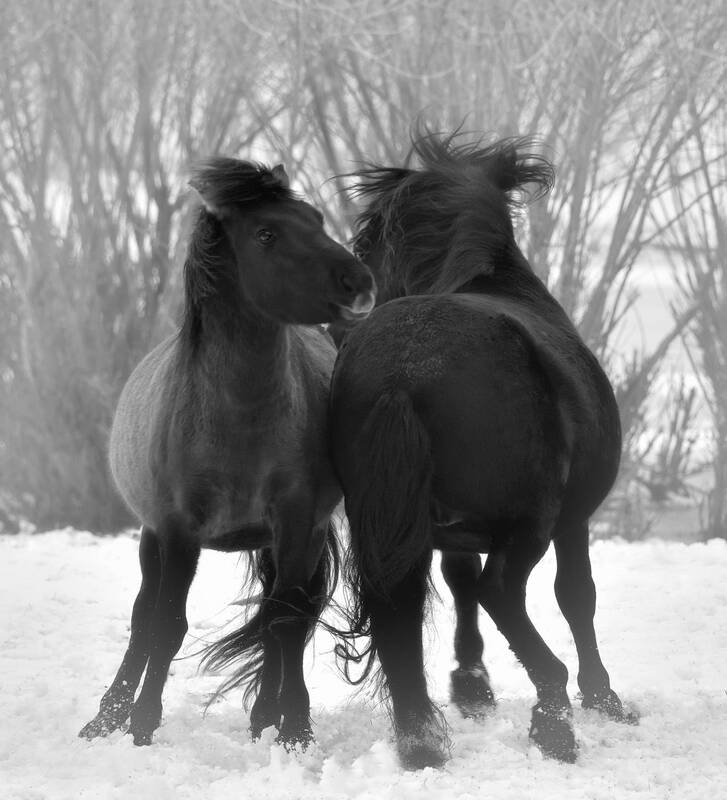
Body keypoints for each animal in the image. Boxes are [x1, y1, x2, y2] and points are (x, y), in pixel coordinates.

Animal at [79, 157, 375, 748]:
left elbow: (286, 622)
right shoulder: (178, 532)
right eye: (265, 233)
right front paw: (142, 725)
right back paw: (107, 716)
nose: (357, 281)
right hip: (151, 538)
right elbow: (166, 624)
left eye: (314, 218)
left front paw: (294, 730)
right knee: (143, 617)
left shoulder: (298, 525)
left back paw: (264, 716)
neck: (238, 416)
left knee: (284, 616)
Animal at [328, 133, 637, 769]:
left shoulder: (447, 529)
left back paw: (420, 738)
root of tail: (403, 369)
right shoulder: (573, 522)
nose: (339, 320)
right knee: (503, 593)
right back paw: (554, 718)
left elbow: (460, 581)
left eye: (366, 242)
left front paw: (471, 687)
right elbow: (577, 598)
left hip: (393, 524)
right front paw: (603, 697)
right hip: (529, 522)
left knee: (402, 606)